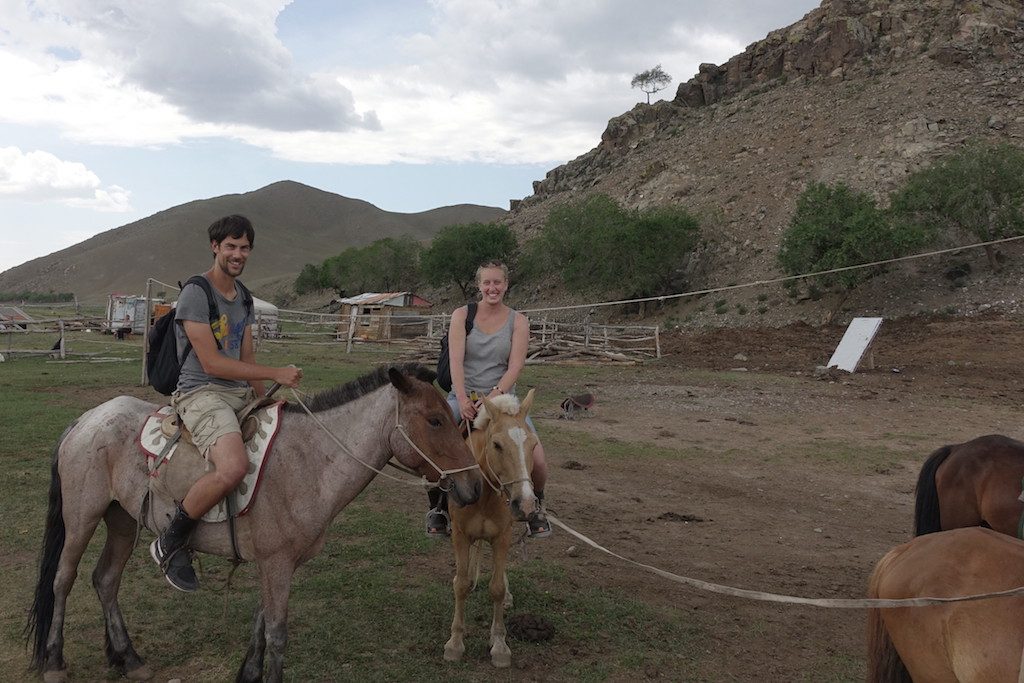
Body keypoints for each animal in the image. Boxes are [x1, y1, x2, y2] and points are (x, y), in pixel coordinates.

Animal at [25, 366, 481, 683]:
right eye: (434, 419)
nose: (473, 485)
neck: (311, 459)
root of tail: (86, 420)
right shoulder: (276, 562)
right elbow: (278, 632)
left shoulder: (277, 563)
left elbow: (261, 622)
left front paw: (248, 673)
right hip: (82, 517)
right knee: (63, 579)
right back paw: (55, 661)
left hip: (121, 519)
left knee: (105, 580)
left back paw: (129, 658)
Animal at [448, 389, 544, 667]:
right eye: (497, 445)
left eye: (533, 445)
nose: (526, 504)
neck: (484, 494)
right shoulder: (460, 536)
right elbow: (460, 585)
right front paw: (455, 643)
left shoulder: (502, 536)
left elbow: (497, 588)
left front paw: (499, 643)